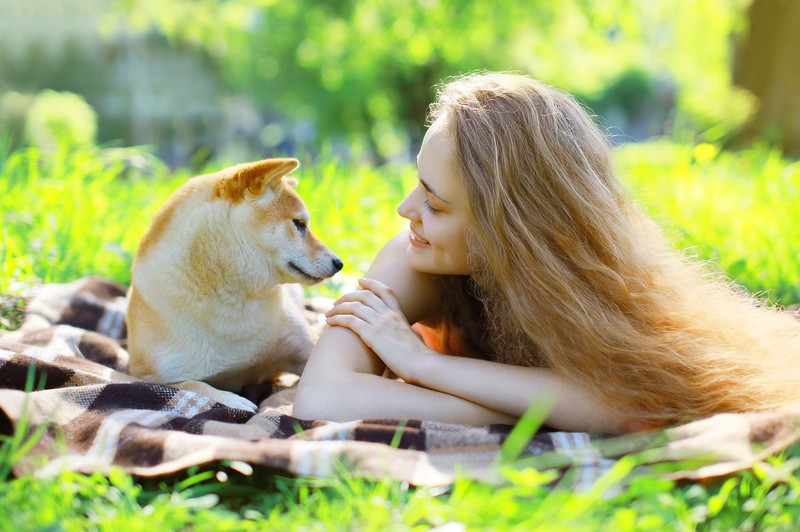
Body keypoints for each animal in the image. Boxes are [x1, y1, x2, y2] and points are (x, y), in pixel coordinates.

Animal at [125, 158, 340, 412]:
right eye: (299, 224)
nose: (339, 263)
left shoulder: (304, 350)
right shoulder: (146, 377)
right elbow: (193, 385)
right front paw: (232, 399)